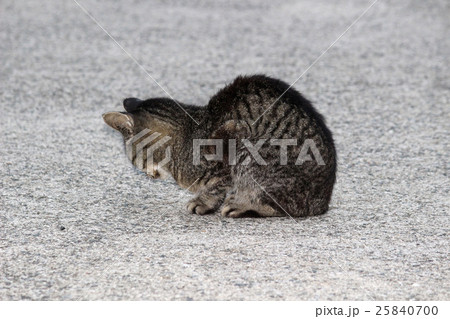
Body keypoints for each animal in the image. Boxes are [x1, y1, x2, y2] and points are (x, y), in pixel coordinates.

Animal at [103, 75, 336, 218]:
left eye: (132, 159)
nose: (145, 174)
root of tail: (322, 203)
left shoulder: (232, 138)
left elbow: (218, 185)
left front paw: (204, 202)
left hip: (254, 155)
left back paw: (242, 206)